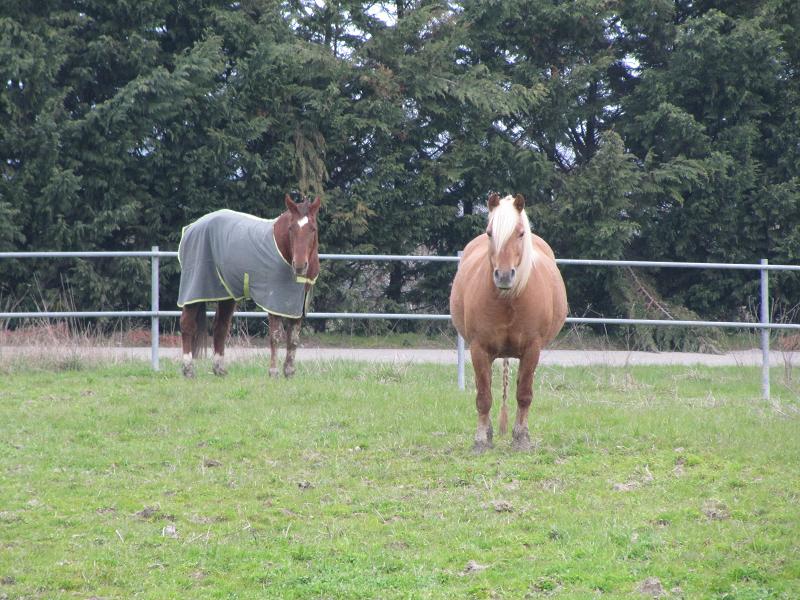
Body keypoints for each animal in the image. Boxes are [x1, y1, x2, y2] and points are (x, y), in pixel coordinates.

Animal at [177, 194, 320, 379]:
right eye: (291, 228)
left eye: (313, 229)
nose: (300, 265)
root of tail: (190, 228)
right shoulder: (274, 299)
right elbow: (275, 336)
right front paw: (273, 372)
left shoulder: (297, 302)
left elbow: (293, 338)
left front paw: (289, 371)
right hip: (195, 287)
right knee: (187, 324)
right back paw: (188, 369)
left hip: (226, 294)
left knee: (220, 326)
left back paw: (219, 369)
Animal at [449, 193, 567, 452]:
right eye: (489, 232)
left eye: (521, 233)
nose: (504, 275)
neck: (509, 301)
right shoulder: (479, 349)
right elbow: (483, 398)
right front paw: (481, 440)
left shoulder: (532, 349)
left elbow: (524, 395)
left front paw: (521, 438)